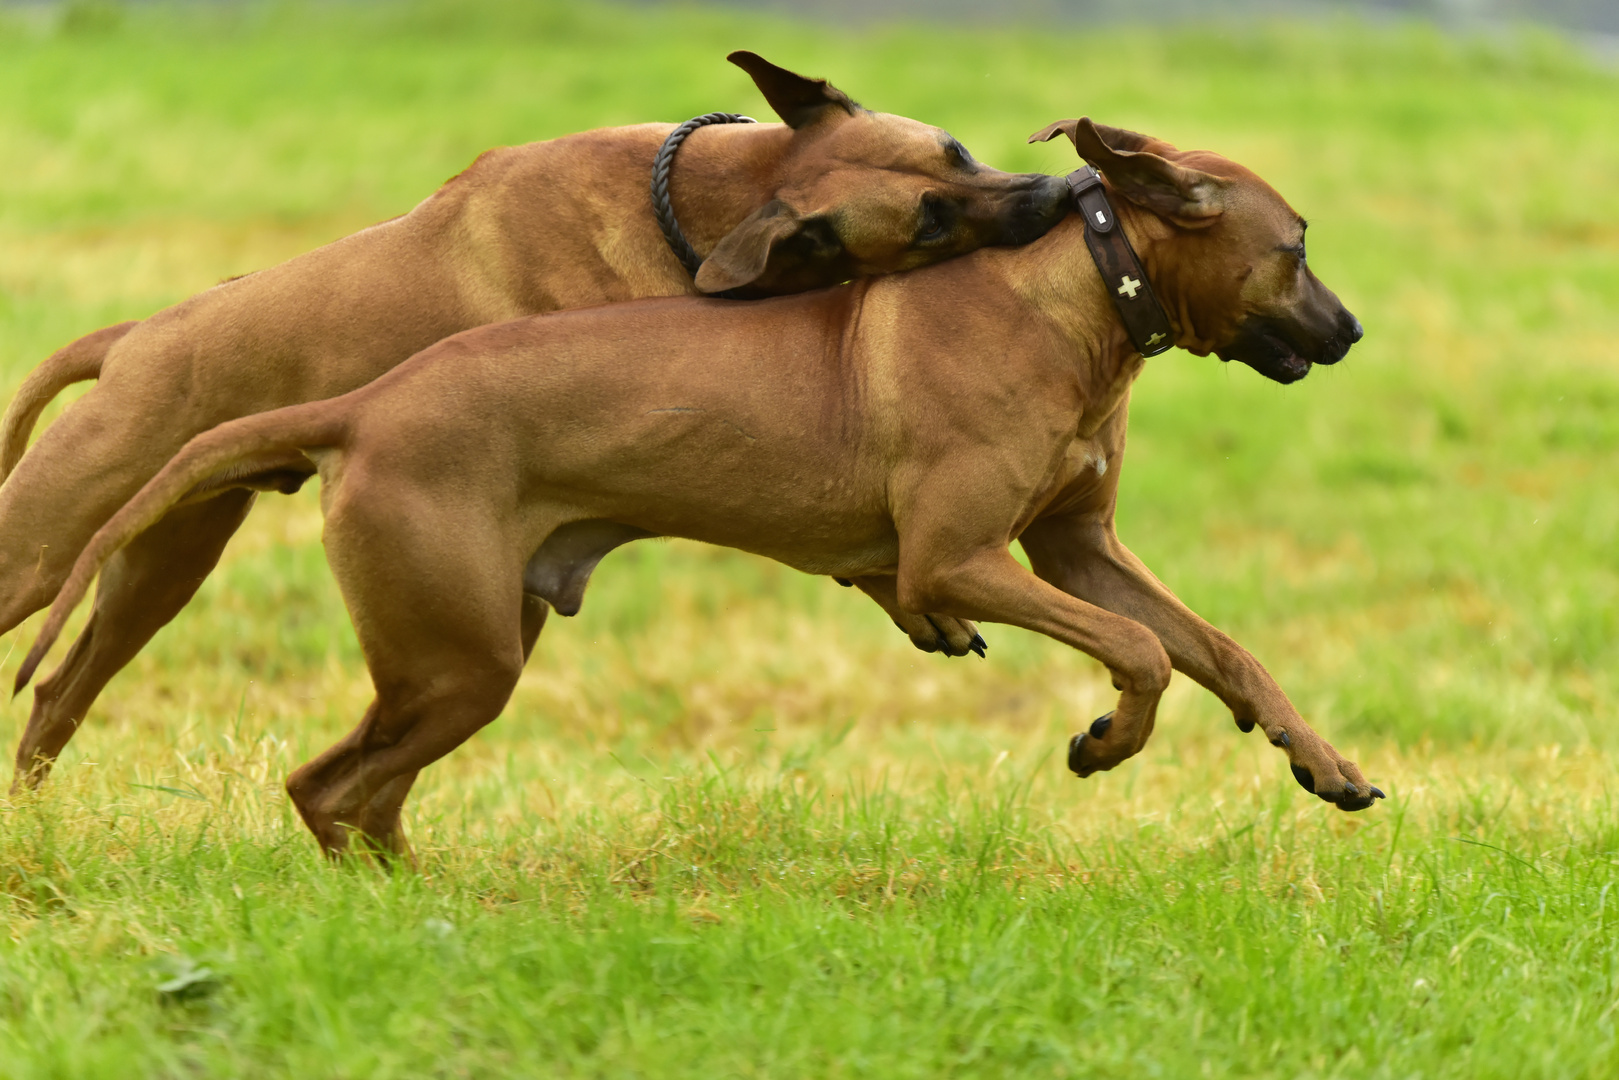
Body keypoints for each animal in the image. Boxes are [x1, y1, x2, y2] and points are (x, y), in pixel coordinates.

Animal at [3, 52, 1075, 786]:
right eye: (931, 219)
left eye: (957, 150)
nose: (1061, 190)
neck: (698, 200)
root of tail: (133, 340)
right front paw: (922, 600)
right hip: (47, 545)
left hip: (159, 562)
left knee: (59, 690)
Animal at [19, 116, 1379, 861]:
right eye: (1296, 248)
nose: (1353, 330)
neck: (1077, 296)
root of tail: (364, 406)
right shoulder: (962, 557)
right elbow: (1139, 655)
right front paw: (1105, 741)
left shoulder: (1074, 550)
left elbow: (1221, 651)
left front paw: (1320, 761)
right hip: (450, 650)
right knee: (327, 785)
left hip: (457, 643)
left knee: (353, 792)